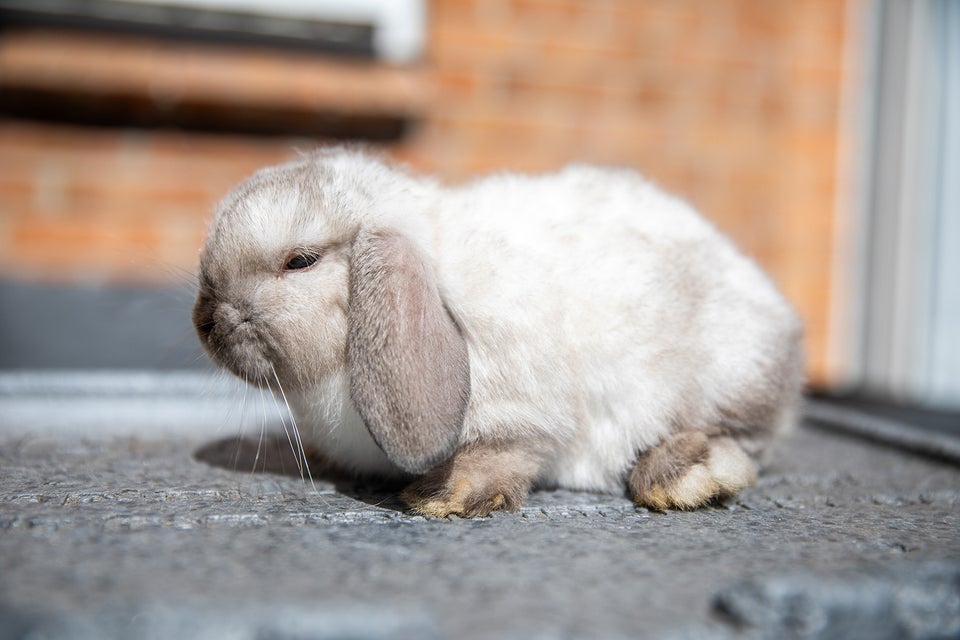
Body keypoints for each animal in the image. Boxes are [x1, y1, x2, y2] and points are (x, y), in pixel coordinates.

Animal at [193, 148, 804, 516]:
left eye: (301, 261)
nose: (204, 321)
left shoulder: (524, 407)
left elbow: (508, 451)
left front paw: (448, 495)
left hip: (728, 372)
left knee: (747, 441)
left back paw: (682, 474)